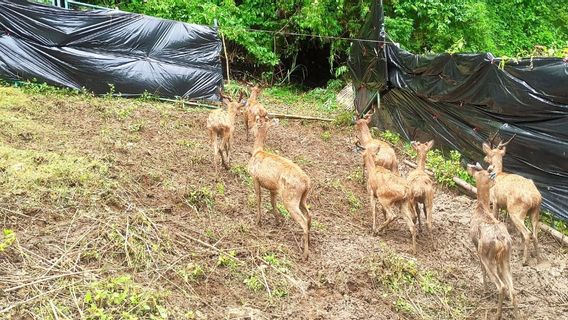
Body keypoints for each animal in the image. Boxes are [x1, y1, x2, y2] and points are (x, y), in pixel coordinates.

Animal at [247, 115, 312, 260]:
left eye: (256, 124)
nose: (250, 129)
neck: (257, 151)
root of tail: (307, 183)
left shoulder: (255, 177)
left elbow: (258, 199)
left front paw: (258, 221)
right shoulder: (273, 188)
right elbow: (273, 203)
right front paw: (277, 221)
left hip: (290, 198)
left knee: (303, 220)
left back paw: (305, 254)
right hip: (302, 198)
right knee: (309, 215)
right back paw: (307, 241)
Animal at [466, 162, 520, 320]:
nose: (495, 181)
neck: (482, 207)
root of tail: (501, 241)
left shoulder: (476, 246)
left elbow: (481, 268)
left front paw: (484, 288)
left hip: (487, 254)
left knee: (501, 286)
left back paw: (497, 314)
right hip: (506, 256)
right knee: (513, 289)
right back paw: (515, 313)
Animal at [484, 135, 540, 264]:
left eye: (489, 153)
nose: (485, 159)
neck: (497, 174)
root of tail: (535, 198)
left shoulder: (495, 201)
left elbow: (495, 217)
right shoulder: (503, 205)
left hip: (516, 210)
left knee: (527, 233)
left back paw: (524, 260)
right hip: (535, 212)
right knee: (535, 234)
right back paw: (539, 259)